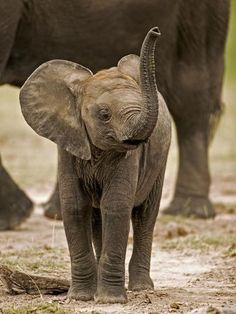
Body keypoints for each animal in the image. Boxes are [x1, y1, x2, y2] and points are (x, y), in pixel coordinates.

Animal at [0, 0, 229, 229]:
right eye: (104, 114)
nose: (155, 31)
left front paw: (13, 218)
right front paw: (15, 216)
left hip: (196, 13)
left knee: (189, 91)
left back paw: (190, 211)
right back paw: (56, 212)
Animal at [19, 28, 171, 302]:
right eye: (104, 115)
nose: (156, 31)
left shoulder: (129, 157)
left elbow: (116, 205)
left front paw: (110, 300)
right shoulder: (68, 145)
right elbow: (75, 207)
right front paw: (80, 298)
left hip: (161, 160)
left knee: (145, 215)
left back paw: (141, 288)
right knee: (97, 217)